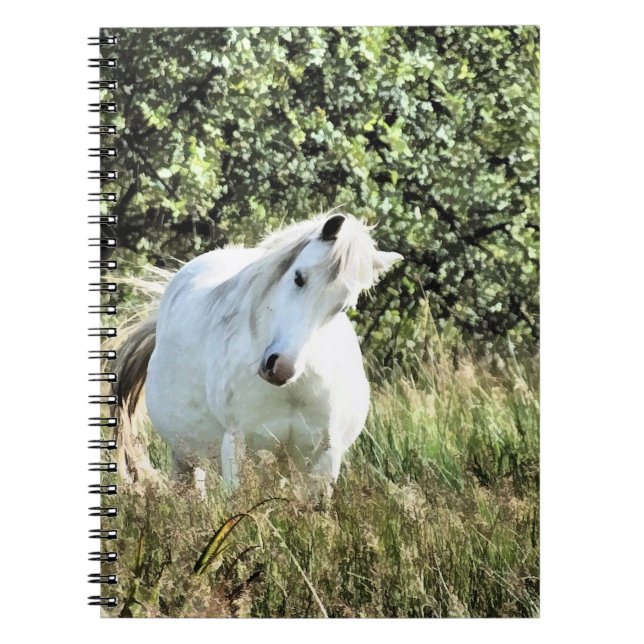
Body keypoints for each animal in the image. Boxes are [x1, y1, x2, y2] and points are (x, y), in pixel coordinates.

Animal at [116, 213, 402, 495]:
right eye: (299, 277)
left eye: (343, 305)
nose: (281, 367)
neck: (293, 390)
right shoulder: (237, 448)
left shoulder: (323, 459)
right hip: (184, 456)